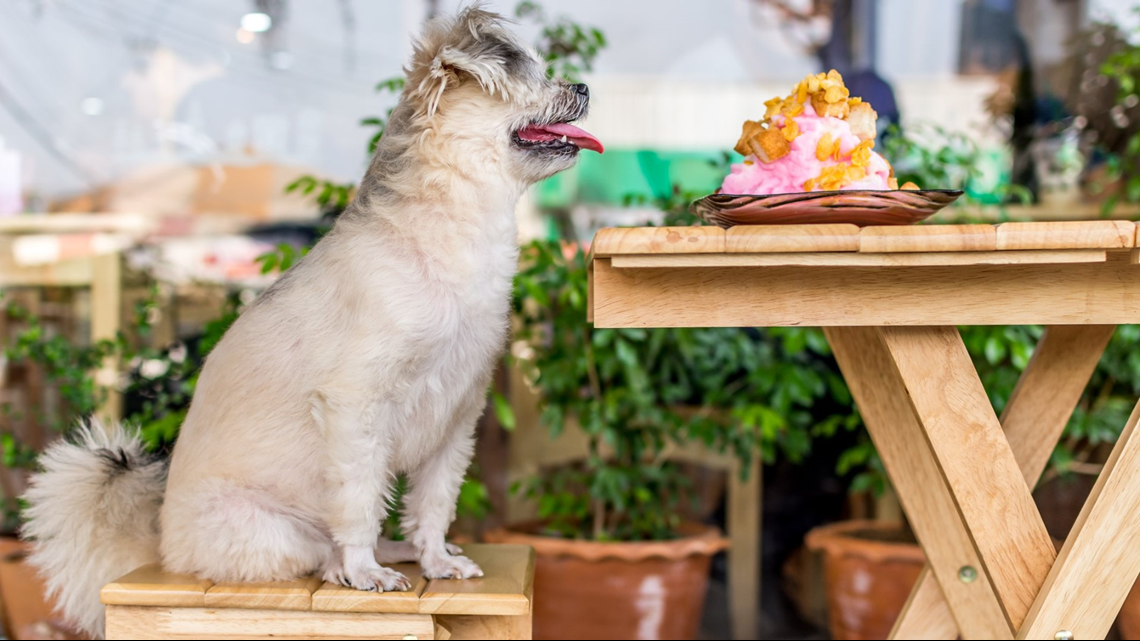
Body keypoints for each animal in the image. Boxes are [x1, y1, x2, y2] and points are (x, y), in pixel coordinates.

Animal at [20, 7, 606, 634]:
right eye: (530, 76)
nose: (583, 87)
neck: (445, 242)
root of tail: (161, 547)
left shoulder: (455, 422)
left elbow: (433, 505)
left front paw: (435, 559)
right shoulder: (356, 410)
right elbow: (360, 500)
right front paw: (366, 569)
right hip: (278, 531)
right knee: (322, 549)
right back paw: (352, 565)